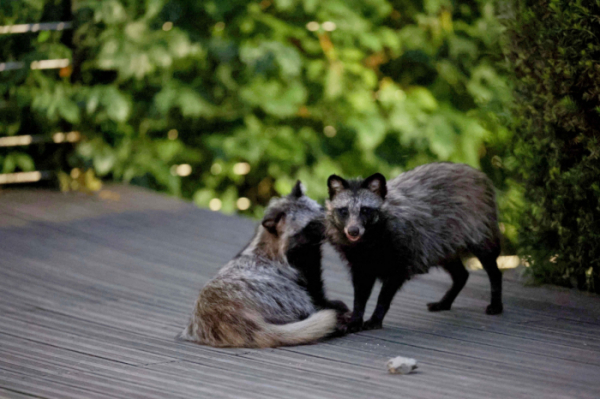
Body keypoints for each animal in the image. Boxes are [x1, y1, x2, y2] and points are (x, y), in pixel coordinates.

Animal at [179, 183, 346, 348]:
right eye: (311, 225)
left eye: (321, 210)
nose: (333, 225)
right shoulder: (306, 276)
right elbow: (317, 295)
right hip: (287, 295)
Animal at [326, 162, 504, 334]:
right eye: (344, 211)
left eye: (365, 210)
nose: (353, 231)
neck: (367, 240)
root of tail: (477, 173)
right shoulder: (360, 263)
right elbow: (360, 295)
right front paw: (356, 319)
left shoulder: (400, 254)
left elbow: (384, 296)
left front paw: (376, 318)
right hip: (442, 242)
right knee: (460, 274)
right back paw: (446, 300)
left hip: (478, 224)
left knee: (490, 264)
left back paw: (496, 301)